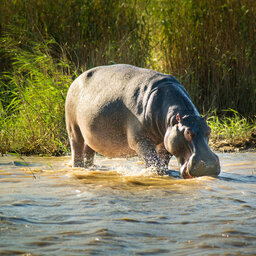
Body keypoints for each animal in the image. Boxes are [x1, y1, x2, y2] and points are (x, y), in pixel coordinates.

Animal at [65, 64, 220, 178]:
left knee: (88, 150)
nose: (209, 166)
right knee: (76, 148)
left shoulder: (166, 139)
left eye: (209, 130)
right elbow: (152, 160)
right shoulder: (140, 140)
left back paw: (91, 168)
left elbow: (163, 159)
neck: (185, 116)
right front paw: (155, 174)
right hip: (73, 128)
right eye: (187, 133)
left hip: (90, 134)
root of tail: (76, 79)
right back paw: (78, 167)